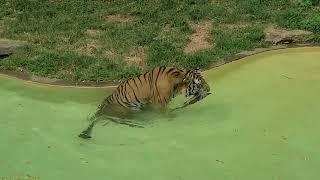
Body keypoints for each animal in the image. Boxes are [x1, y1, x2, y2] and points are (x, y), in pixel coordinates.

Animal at [79, 66, 211, 139]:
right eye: (199, 84)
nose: (209, 89)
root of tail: (101, 110)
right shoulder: (160, 104)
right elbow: (167, 114)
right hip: (127, 112)